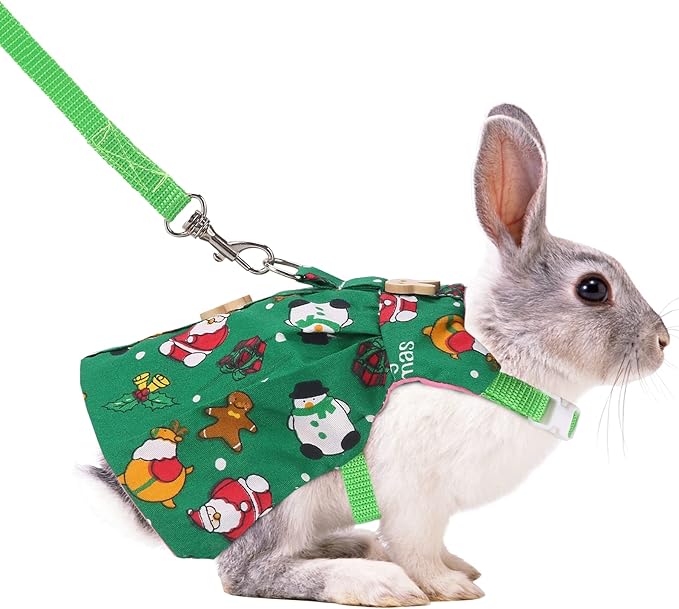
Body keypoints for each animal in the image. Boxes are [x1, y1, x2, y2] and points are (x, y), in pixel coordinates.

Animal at [89, 104, 669, 606]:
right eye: (593, 289)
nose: (663, 343)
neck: (490, 355)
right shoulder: (414, 496)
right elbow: (416, 546)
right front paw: (448, 586)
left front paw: (459, 567)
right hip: (276, 497)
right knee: (249, 572)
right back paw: (373, 581)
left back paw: (360, 548)